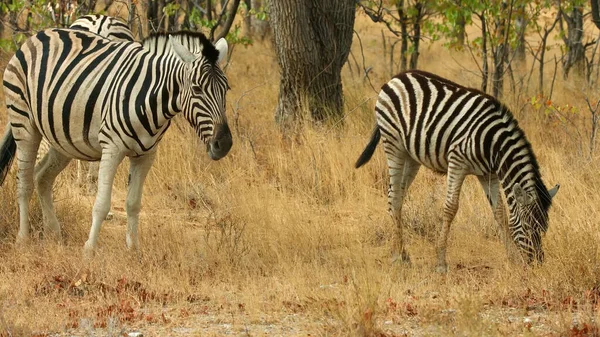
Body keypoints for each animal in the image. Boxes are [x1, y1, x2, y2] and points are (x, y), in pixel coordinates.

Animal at [0, 28, 232, 255]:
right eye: (196, 89)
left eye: (226, 89)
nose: (225, 144)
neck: (151, 100)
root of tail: (38, 35)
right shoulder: (112, 148)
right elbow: (102, 204)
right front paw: (89, 250)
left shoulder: (146, 155)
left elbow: (133, 204)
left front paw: (133, 250)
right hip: (24, 122)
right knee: (24, 182)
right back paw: (23, 238)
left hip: (63, 140)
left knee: (42, 176)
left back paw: (53, 233)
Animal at [354, 71, 560, 272]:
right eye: (527, 226)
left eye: (544, 228)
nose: (537, 263)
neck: (493, 145)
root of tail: (397, 77)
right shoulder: (457, 162)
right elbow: (450, 208)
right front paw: (440, 263)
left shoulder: (488, 173)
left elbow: (499, 212)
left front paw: (513, 258)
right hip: (393, 144)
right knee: (394, 196)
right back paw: (397, 257)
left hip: (411, 155)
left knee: (398, 196)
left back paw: (404, 255)